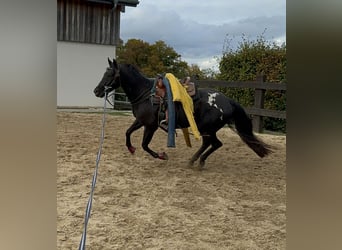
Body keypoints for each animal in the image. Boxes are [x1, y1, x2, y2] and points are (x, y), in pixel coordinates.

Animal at [94, 58, 272, 167]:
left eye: (110, 74)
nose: (96, 91)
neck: (146, 93)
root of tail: (227, 101)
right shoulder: (140, 121)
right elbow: (127, 133)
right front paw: (131, 148)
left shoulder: (151, 126)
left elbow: (144, 145)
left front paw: (162, 155)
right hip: (206, 129)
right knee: (211, 144)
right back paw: (193, 161)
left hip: (207, 129)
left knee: (215, 144)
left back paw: (198, 162)